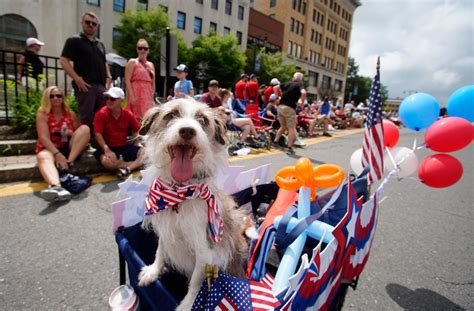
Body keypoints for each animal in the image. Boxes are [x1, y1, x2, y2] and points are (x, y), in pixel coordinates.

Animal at [136, 98, 248, 310]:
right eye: (171, 115)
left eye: (203, 120)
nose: (187, 130)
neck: (180, 193)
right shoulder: (165, 231)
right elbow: (160, 251)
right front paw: (154, 270)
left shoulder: (205, 251)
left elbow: (197, 281)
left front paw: (188, 304)